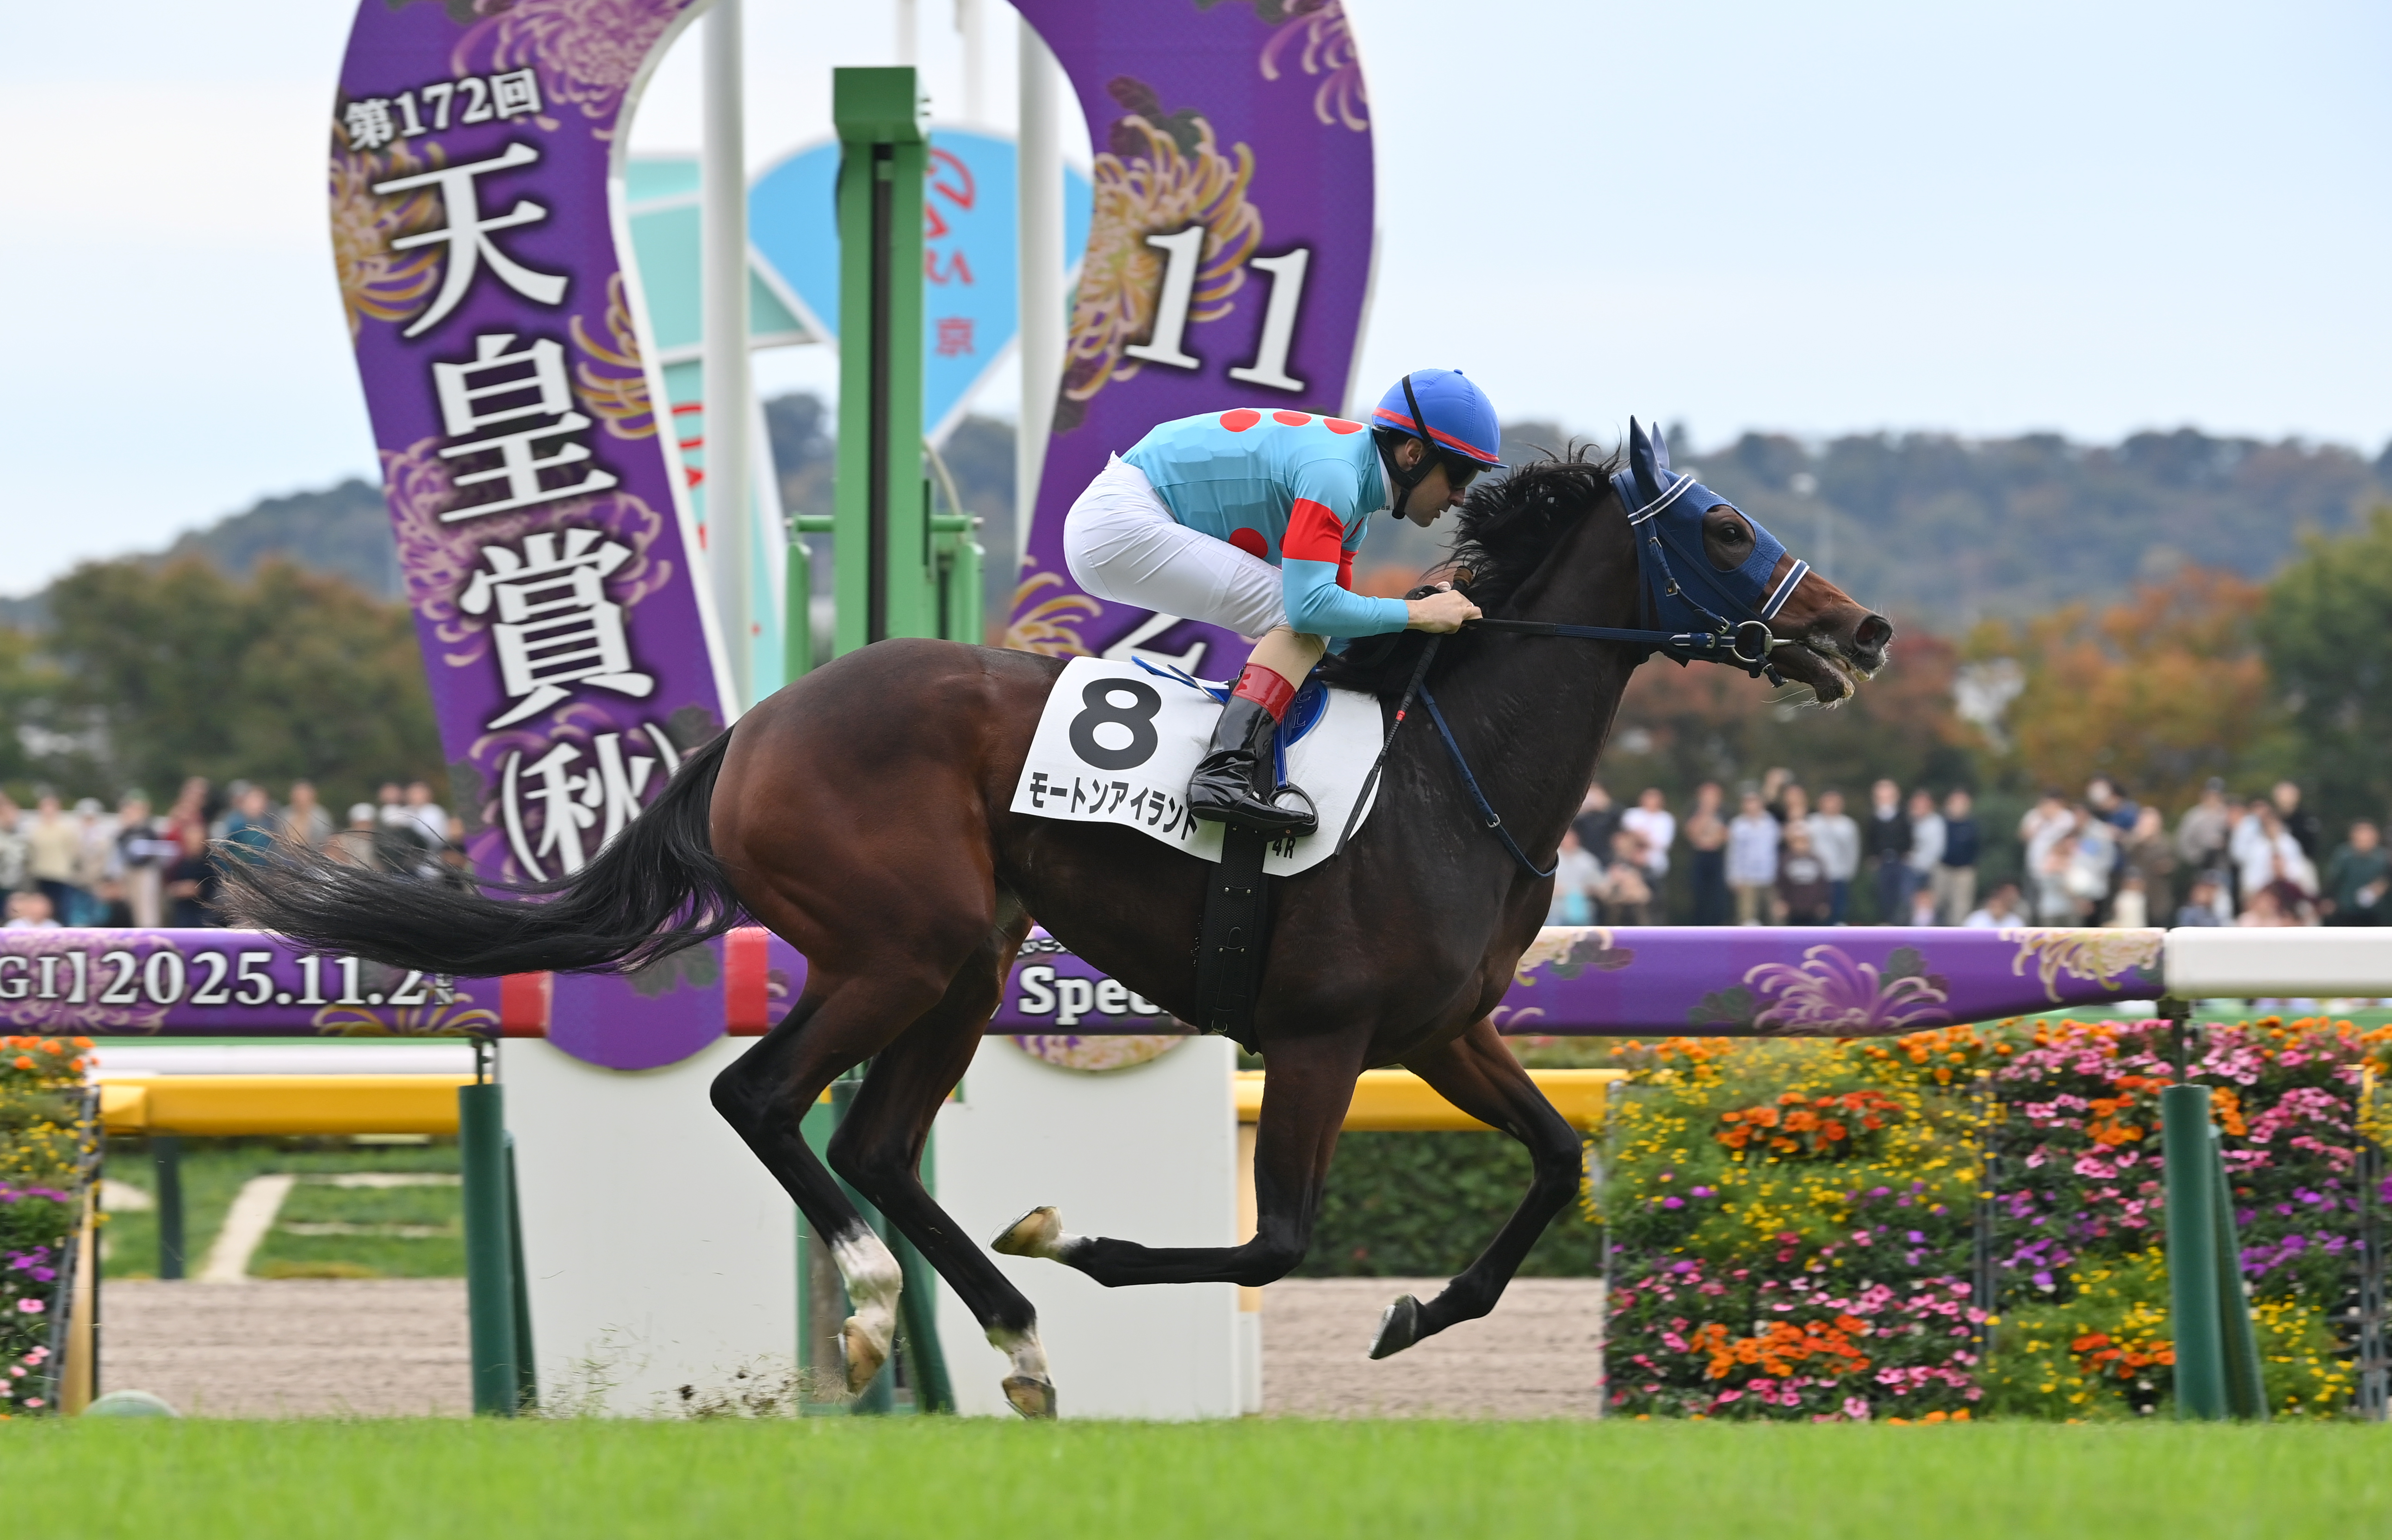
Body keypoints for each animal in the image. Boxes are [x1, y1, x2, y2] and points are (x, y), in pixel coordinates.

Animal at [223, 433, 1892, 1419]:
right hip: (901, 943)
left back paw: (1014, 1341)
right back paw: (883, 1311)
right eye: (1725, 528)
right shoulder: (1321, 1034)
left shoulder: (1442, 1029)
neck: (1445, 777)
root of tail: (754, 724)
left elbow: (1554, 1158)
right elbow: (1278, 1236)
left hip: (963, 960)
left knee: (874, 1138)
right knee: (763, 1098)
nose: (1862, 627)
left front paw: (1420, 1311)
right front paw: (1081, 1236)